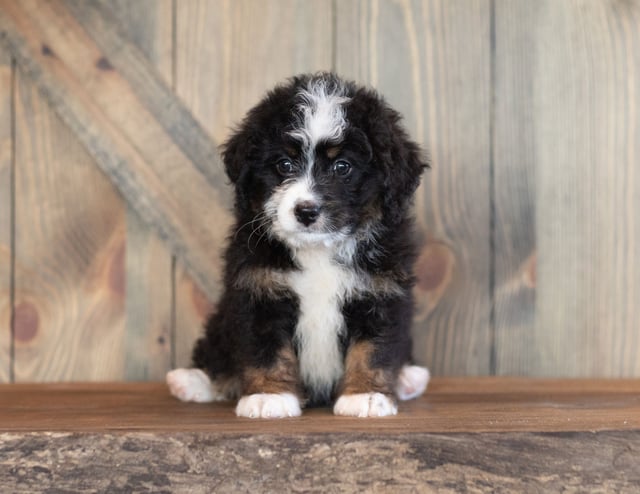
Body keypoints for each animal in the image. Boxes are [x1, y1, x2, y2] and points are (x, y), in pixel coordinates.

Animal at [168, 73, 432, 418]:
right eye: (283, 164)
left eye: (343, 167)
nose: (306, 211)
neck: (319, 251)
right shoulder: (259, 290)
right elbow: (265, 348)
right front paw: (268, 396)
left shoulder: (380, 293)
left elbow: (374, 348)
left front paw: (366, 395)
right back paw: (193, 381)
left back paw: (409, 378)